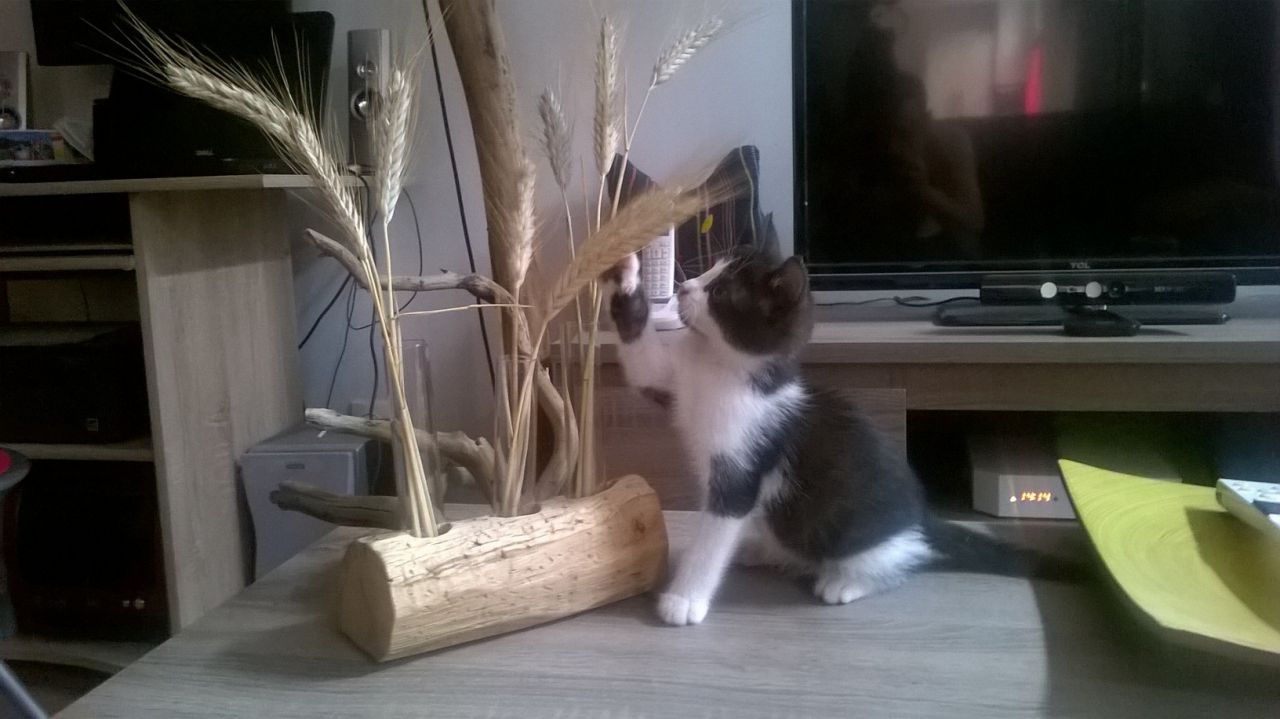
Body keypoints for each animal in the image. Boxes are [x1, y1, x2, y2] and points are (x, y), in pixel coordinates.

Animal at [605, 248, 1033, 626]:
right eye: (711, 269)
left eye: (721, 291)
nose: (684, 287)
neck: (717, 365)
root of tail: (921, 517)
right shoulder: (673, 381)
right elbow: (645, 366)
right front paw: (626, 273)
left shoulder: (744, 465)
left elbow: (715, 534)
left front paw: (684, 598)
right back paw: (761, 549)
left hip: (861, 534)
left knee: (902, 557)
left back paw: (848, 581)